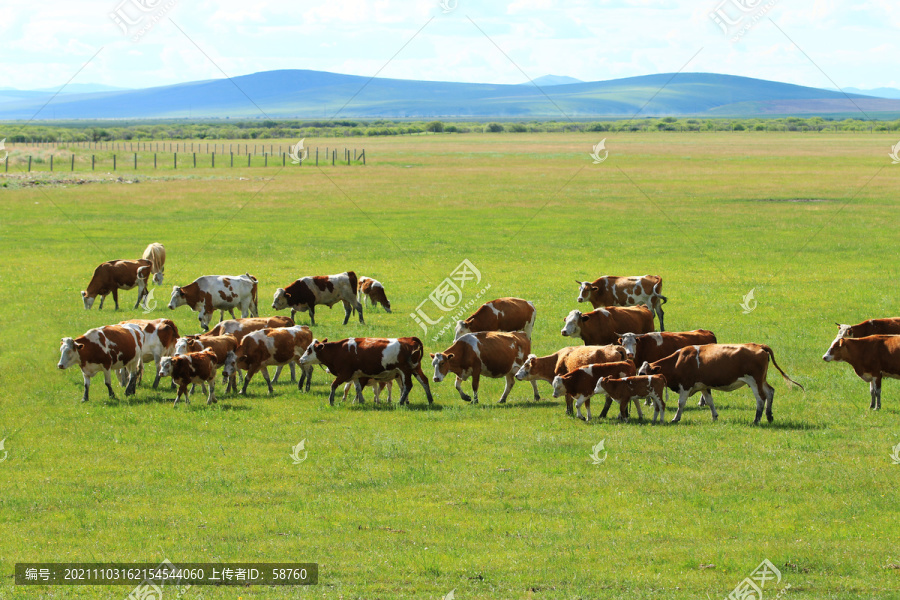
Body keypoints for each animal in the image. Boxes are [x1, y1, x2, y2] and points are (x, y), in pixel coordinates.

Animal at [298, 338, 432, 408]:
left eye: (309, 349)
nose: (301, 359)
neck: (338, 350)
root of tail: (409, 339)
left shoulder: (345, 374)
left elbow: (333, 385)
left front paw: (331, 401)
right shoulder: (356, 375)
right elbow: (358, 388)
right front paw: (361, 401)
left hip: (405, 371)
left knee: (408, 386)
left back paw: (401, 402)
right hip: (415, 369)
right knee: (424, 381)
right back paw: (430, 399)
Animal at [640, 344, 800, 424]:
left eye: (642, 374)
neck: (679, 360)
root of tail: (759, 346)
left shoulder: (685, 386)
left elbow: (681, 403)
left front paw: (675, 418)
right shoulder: (704, 386)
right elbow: (710, 402)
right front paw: (715, 417)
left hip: (755, 381)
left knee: (761, 399)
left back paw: (756, 420)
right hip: (761, 380)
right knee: (770, 392)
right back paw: (769, 416)